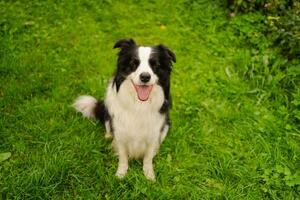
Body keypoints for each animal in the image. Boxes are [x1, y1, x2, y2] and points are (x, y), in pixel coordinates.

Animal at [73, 38, 176, 180]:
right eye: (134, 64)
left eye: (155, 65)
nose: (145, 77)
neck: (139, 105)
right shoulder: (121, 133)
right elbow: (122, 157)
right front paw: (121, 174)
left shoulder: (153, 134)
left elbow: (148, 157)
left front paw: (149, 175)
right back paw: (108, 135)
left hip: (166, 124)